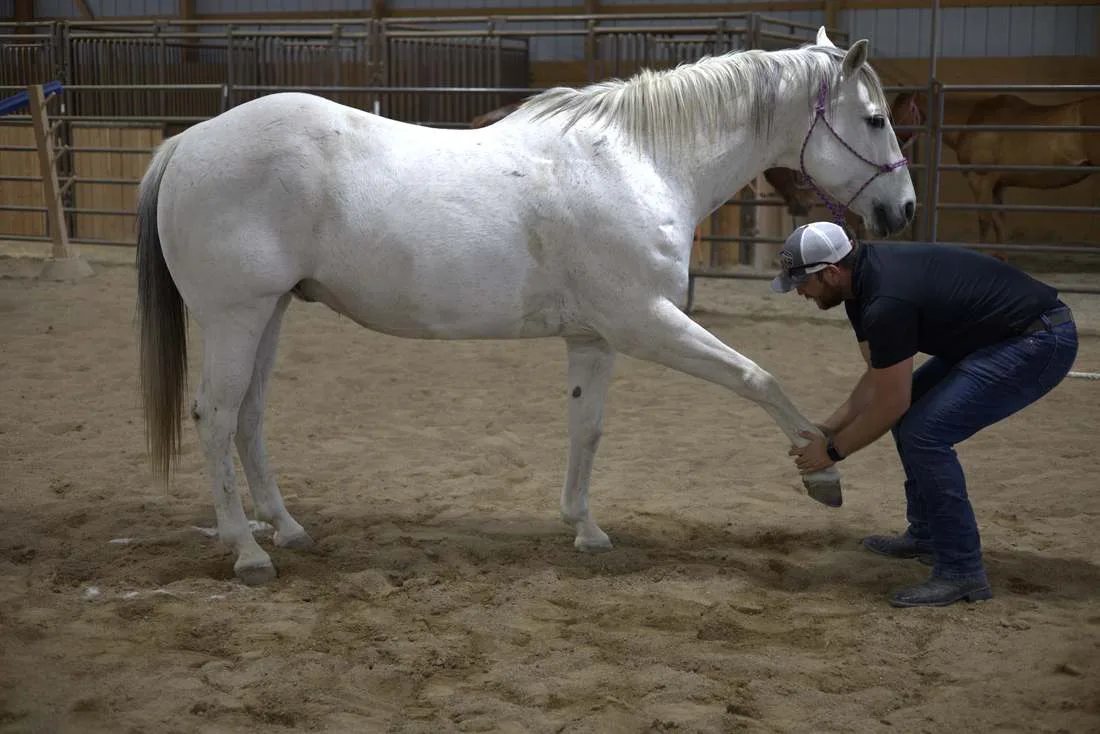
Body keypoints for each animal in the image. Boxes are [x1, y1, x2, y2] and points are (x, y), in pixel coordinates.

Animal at [136, 27, 915, 585]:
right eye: (875, 119)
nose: (902, 210)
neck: (639, 162)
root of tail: (188, 141)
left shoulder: (595, 338)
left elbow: (587, 429)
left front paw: (585, 529)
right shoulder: (646, 323)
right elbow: (759, 378)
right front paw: (820, 470)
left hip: (270, 313)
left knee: (250, 417)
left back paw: (288, 528)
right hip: (236, 317)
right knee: (215, 417)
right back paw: (249, 552)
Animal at [890, 89, 1100, 245]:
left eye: (897, 113)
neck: (972, 120)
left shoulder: (980, 179)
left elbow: (984, 221)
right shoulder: (998, 185)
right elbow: (999, 222)